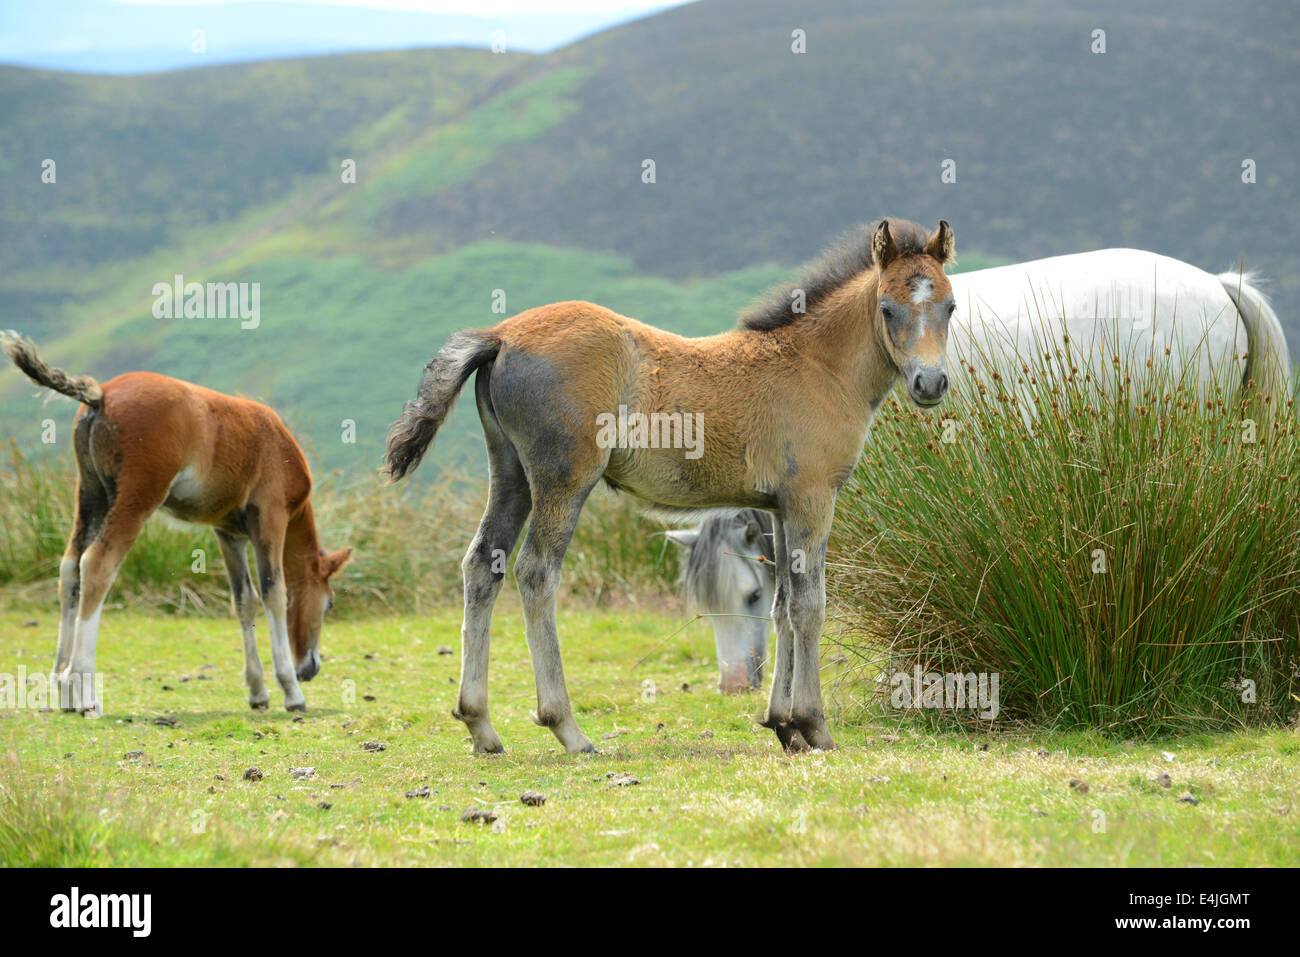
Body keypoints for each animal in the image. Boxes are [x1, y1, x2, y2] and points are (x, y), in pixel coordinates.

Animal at [1, 332, 352, 716]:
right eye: (329, 603)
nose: (310, 668)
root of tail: (100, 395)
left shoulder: (228, 533)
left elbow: (243, 601)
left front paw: (258, 693)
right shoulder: (270, 517)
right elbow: (275, 593)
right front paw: (291, 692)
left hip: (91, 494)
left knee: (69, 567)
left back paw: (63, 688)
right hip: (137, 497)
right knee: (96, 564)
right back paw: (83, 691)